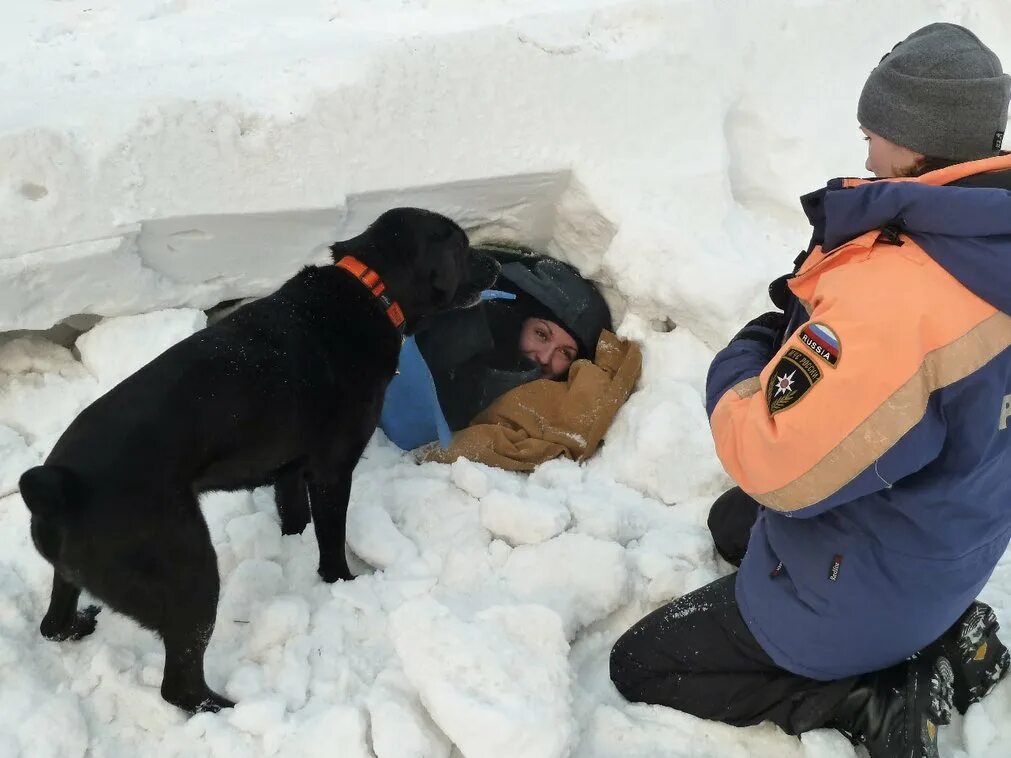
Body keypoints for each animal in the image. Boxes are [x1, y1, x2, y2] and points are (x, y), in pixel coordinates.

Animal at [17, 209, 499, 719]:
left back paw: (78, 625)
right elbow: (331, 539)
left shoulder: (288, 470)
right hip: (192, 575)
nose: (496, 265)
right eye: (462, 245)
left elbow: (294, 516)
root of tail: (60, 486)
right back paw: (231, 707)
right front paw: (341, 582)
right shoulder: (332, 469)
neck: (369, 290)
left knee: (52, 624)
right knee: (178, 685)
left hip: (76, 575)